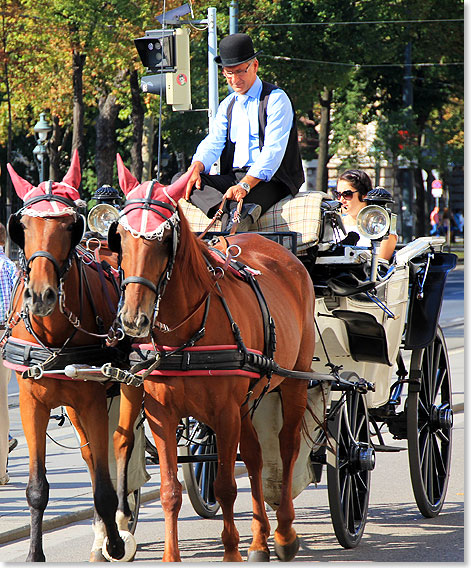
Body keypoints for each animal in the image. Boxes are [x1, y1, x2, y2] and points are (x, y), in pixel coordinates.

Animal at [3, 152, 142, 564]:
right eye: (24, 225)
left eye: (68, 225)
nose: (41, 295)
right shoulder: (32, 404)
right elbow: (37, 487)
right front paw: (35, 554)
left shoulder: (94, 401)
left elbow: (105, 483)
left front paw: (115, 540)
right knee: (91, 454)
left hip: (131, 387)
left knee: (122, 445)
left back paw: (121, 525)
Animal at [109, 156, 318, 564]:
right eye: (121, 237)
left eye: (162, 241)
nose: (133, 320)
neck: (186, 332)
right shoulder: (162, 414)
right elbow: (170, 491)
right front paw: (171, 556)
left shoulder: (223, 412)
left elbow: (223, 486)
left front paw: (231, 551)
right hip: (247, 402)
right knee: (254, 456)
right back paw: (259, 540)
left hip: (293, 382)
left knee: (286, 447)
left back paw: (284, 533)